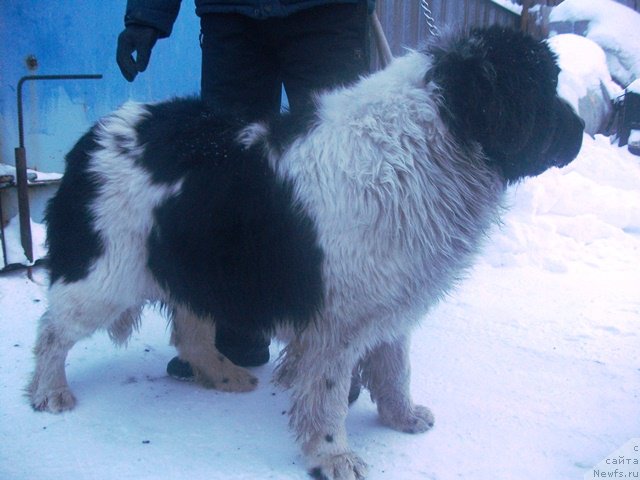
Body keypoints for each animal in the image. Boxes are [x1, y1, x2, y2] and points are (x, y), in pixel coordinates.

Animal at [27, 27, 584, 480]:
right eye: (544, 87)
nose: (580, 132)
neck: (429, 142)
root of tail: (97, 132)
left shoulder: (391, 299)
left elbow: (395, 367)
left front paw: (401, 417)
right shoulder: (336, 323)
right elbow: (331, 392)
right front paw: (334, 455)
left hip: (198, 260)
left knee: (190, 331)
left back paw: (225, 374)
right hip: (106, 275)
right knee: (54, 330)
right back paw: (49, 392)